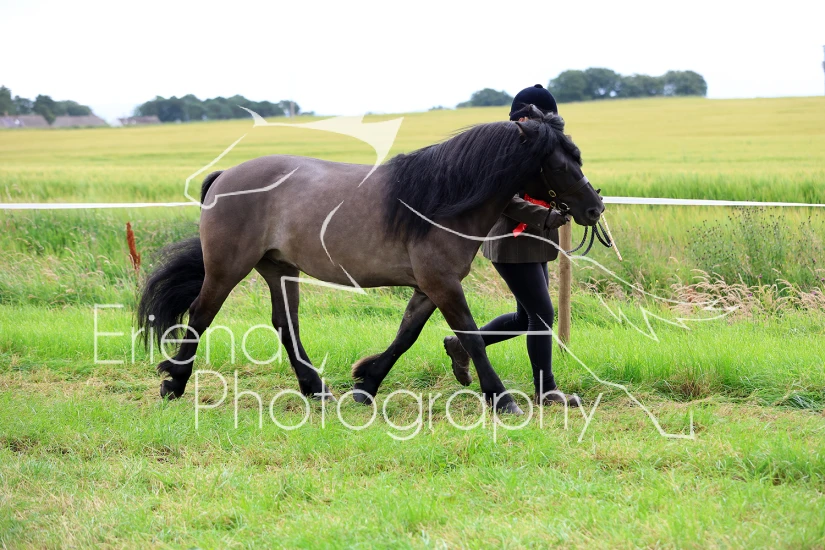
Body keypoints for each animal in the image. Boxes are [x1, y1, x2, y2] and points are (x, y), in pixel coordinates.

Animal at [137, 108, 604, 414]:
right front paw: (501, 398)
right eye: (561, 163)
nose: (595, 208)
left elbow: (405, 336)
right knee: (201, 315)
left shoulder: (428, 287)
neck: (440, 200)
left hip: (279, 270)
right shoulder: (442, 284)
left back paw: (316, 388)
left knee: (285, 324)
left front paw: (366, 383)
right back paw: (174, 383)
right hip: (227, 268)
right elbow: (470, 335)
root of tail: (224, 178)